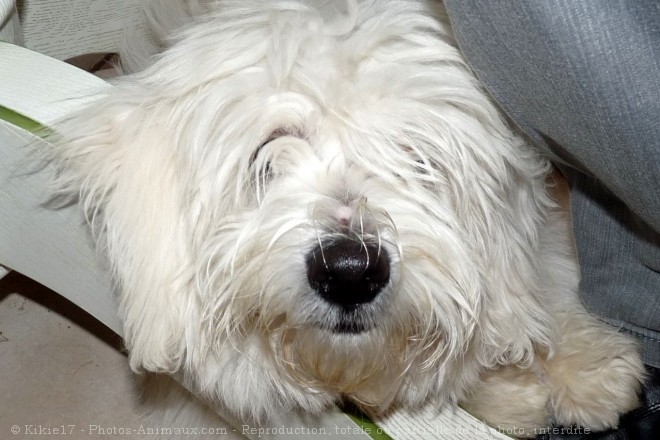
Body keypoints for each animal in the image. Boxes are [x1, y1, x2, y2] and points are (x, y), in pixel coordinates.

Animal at [50, 0, 644, 436]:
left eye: (417, 157)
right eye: (269, 151)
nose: (351, 271)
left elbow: (540, 278)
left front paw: (585, 365)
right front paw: (511, 393)